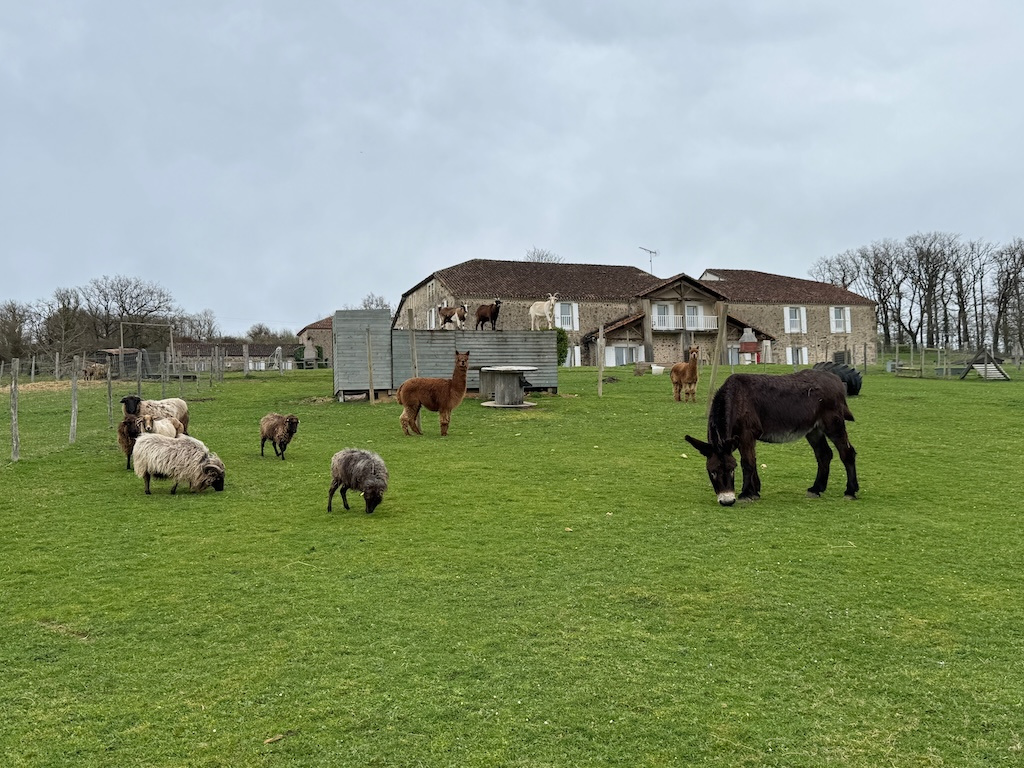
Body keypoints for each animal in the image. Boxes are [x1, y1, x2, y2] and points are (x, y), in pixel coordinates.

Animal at [684, 369, 858, 506]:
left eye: (732, 469)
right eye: (712, 472)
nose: (727, 501)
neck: (735, 398)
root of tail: (835, 379)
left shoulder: (746, 434)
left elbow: (747, 463)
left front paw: (746, 494)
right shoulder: (740, 438)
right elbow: (753, 461)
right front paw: (755, 491)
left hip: (833, 424)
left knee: (847, 453)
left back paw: (850, 491)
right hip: (813, 429)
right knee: (824, 454)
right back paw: (816, 489)